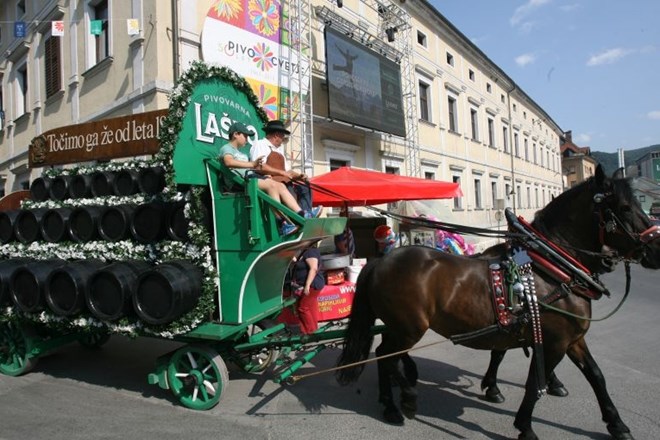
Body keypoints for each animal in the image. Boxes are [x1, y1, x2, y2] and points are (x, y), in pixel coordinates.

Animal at [338, 166, 660, 440]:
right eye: (625, 208)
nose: (655, 248)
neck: (552, 267)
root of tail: (381, 260)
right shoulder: (555, 342)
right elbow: (534, 382)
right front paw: (525, 426)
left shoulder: (573, 339)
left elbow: (596, 376)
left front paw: (617, 424)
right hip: (408, 328)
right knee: (386, 356)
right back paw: (403, 400)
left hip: (399, 327)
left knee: (385, 356)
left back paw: (388, 403)